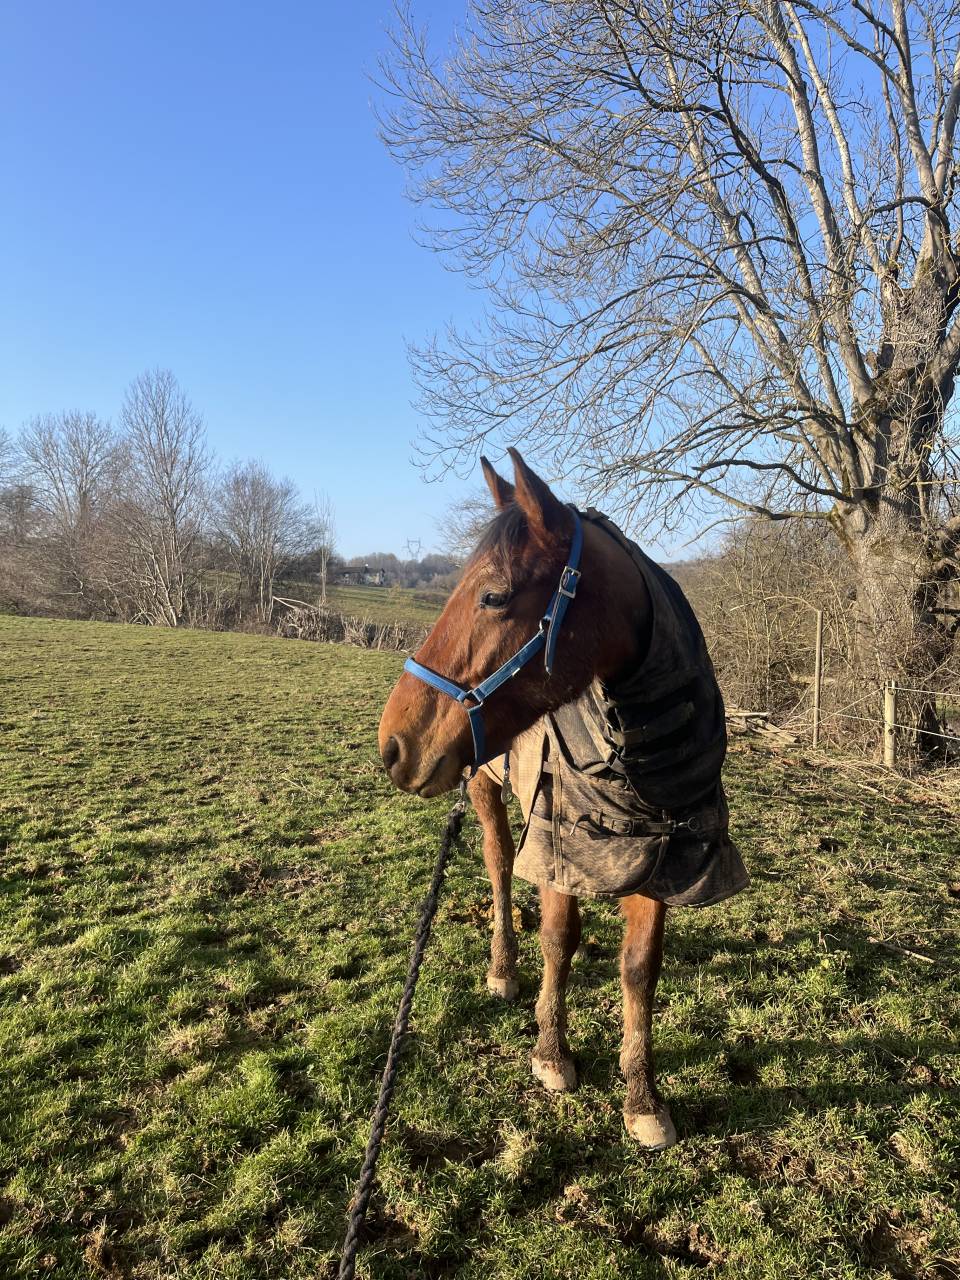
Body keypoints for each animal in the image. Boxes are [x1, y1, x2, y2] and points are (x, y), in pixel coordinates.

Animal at [378, 450, 747, 1149]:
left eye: (494, 595)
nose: (394, 745)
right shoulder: (558, 846)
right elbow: (558, 937)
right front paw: (551, 1053)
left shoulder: (666, 861)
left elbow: (640, 968)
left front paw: (642, 1097)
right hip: (484, 789)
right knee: (498, 865)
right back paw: (502, 967)